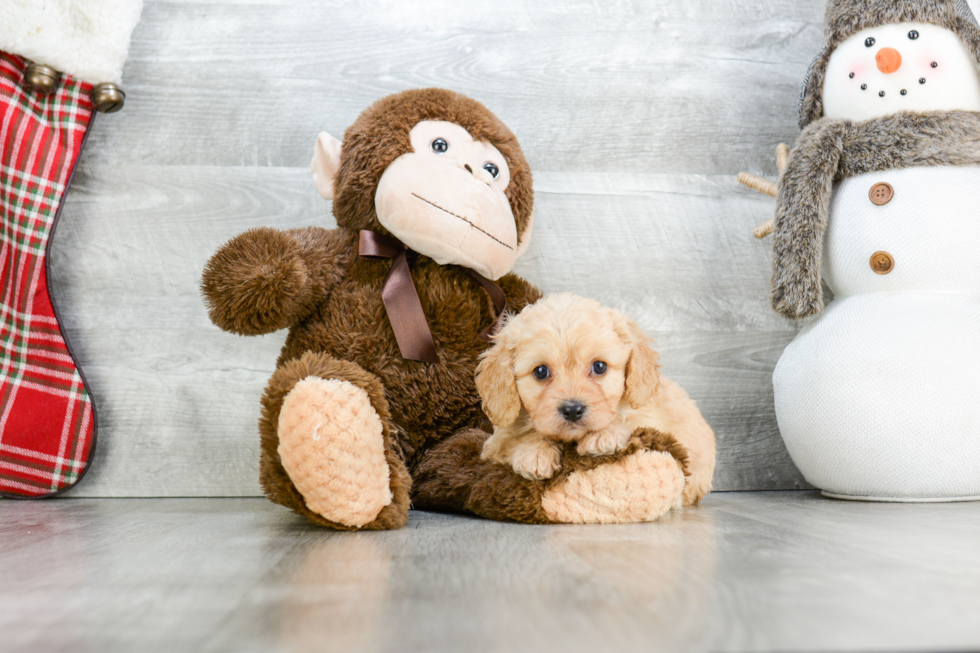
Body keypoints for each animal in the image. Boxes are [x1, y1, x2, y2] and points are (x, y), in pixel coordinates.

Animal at [476, 294, 716, 504]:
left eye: (599, 366)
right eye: (541, 371)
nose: (572, 410)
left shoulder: (650, 416)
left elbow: (630, 419)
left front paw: (603, 435)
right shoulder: (496, 442)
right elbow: (517, 436)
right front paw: (534, 452)